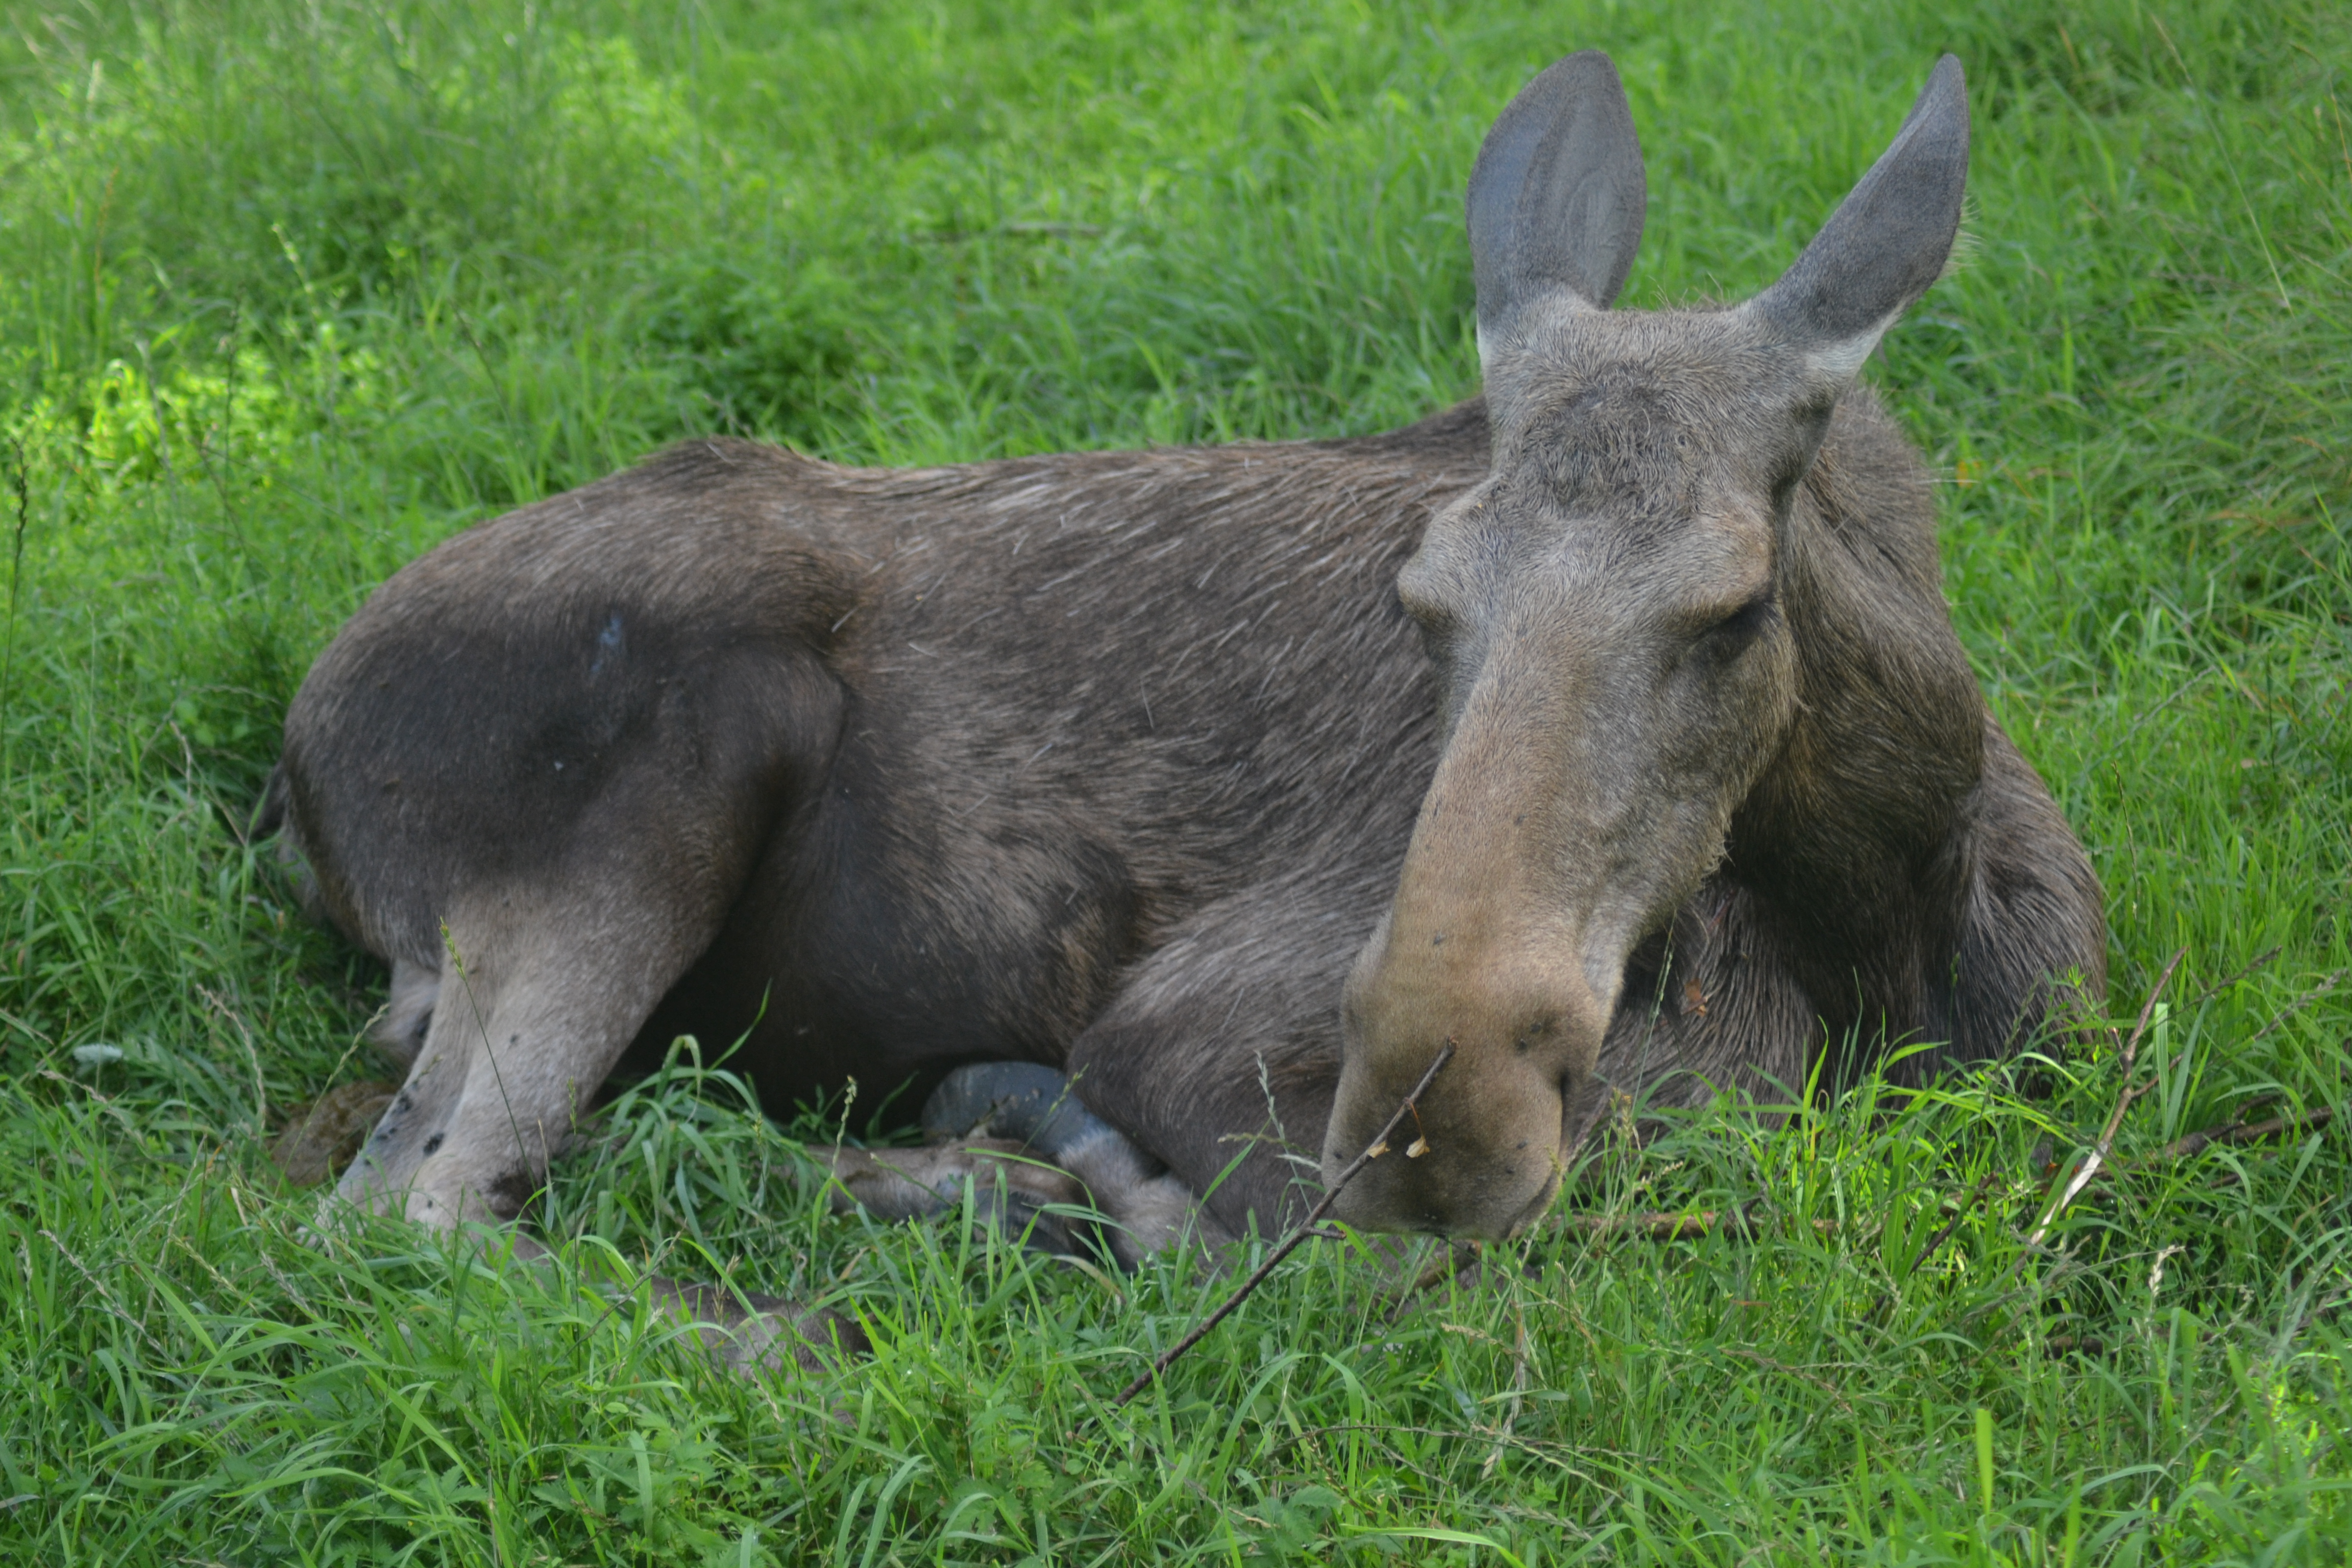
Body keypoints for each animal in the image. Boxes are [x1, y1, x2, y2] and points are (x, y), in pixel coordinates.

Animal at [267, 52, 2107, 1279]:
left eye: (1728, 609)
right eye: (1422, 597)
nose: (1441, 1113)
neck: (1889, 913)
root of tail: (287, 783)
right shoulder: (1184, 1035)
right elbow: (1324, 1248)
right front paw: (1009, 1165)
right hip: (666, 773)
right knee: (405, 1215)